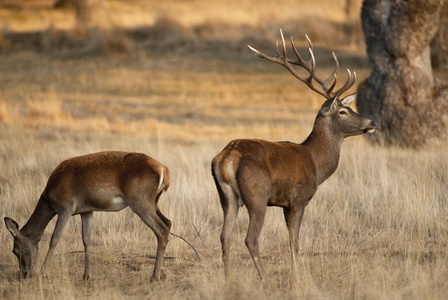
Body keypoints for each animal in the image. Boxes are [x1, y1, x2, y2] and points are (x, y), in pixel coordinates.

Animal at [3, 152, 172, 282]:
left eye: (15, 250)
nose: (24, 274)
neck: (48, 198)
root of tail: (164, 170)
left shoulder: (66, 207)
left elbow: (54, 238)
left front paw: (42, 273)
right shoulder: (86, 211)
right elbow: (86, 239)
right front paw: (86, 275)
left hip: (139, 200)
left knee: (161, 228)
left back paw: (154, 276)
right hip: (153, 201)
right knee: (168, 222)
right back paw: (161, 272)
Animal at [212, 31, 376, 284]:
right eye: (343, 111)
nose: (371, 122)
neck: (316, 164)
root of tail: (227, 158)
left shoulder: (283, 204)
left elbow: (291, 240)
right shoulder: (298, 199)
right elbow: (295, 242)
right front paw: (297, 278)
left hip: (227, 197)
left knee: (224, 236)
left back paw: (229, 280)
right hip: (257, 194)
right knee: (250, 238)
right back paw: (265, 280)